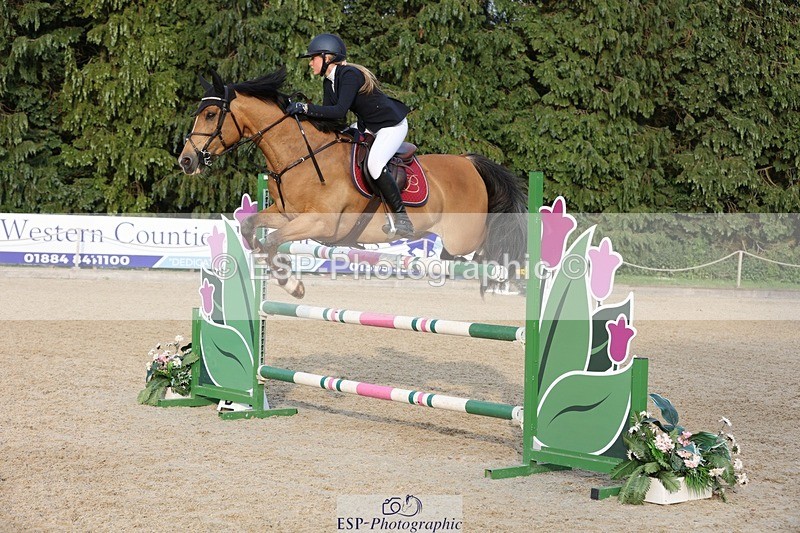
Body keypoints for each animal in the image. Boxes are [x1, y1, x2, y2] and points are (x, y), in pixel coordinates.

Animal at [178, 67, 527, 298]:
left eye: (210, 115)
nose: (186, 160)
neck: (299, 155)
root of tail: (468, 162)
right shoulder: (288, 214)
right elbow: (253, 228)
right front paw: (286, 278)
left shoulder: (321, 223)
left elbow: (273, 239)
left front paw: (291, 283)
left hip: (463, 237)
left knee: (492, 247)